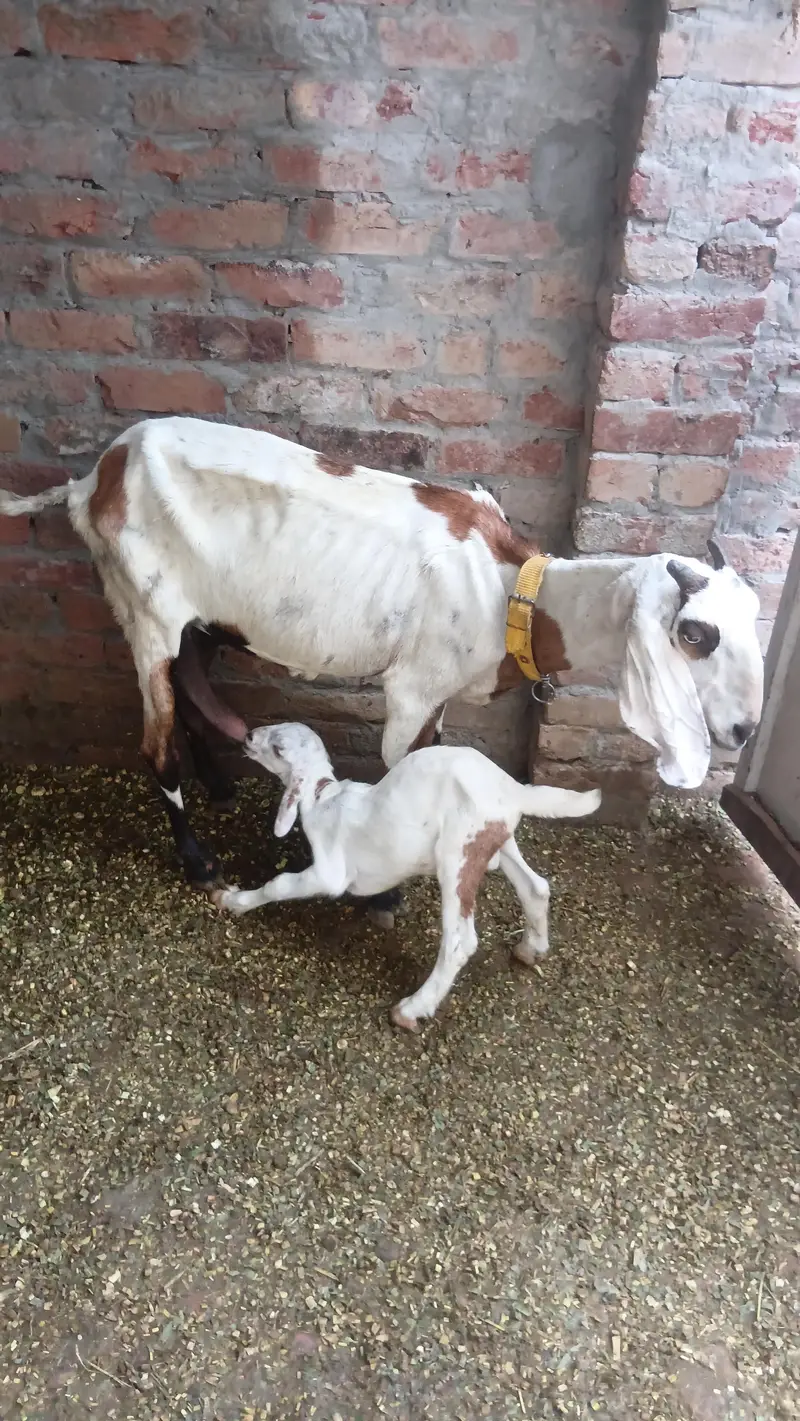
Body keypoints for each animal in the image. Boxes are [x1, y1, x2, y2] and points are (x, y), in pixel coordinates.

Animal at [0, 416, 763, 896]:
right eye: (696, 634)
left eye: (755, 619)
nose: (742, 730)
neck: (508, 591)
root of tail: (94, 478)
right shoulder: (412, 688)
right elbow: (402, 765)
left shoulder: (440, 694)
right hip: (145, 604)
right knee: (154, 743)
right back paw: (199, 862)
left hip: (204, 616)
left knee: (190, 684)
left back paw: (219, 785)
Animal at [213, 722, 602, 1030]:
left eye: (278, 748)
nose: (248, 735)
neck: (322, 796)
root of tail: (512, 789)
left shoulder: (330, 873)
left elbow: (280, 884)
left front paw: (233, 899)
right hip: (496, 840)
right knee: (535, 887)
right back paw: (531, 948)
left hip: (458, 853)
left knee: (460, 941)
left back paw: (413, 1009)